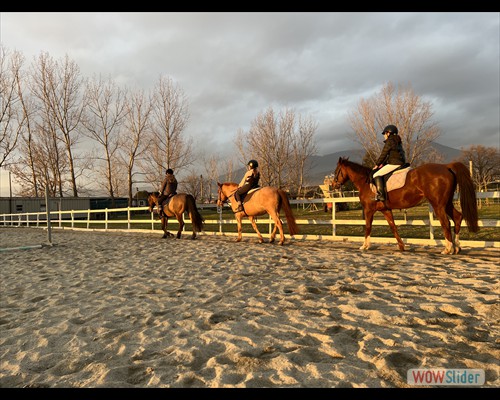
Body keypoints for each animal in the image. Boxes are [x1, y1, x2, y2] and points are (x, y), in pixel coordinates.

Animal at [334, 156, 478, 253]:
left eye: (337, 171)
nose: (334, 184)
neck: (365, 182)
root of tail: (446, 166)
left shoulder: (369, 210)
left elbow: (368, 227)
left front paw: (364, 246)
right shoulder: (386, 210)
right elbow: (393, 227)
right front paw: (402, 246)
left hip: (438, 205)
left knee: (446, 223)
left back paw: (447, 249)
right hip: (446, 203)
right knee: (458, 217)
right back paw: (457, 247)